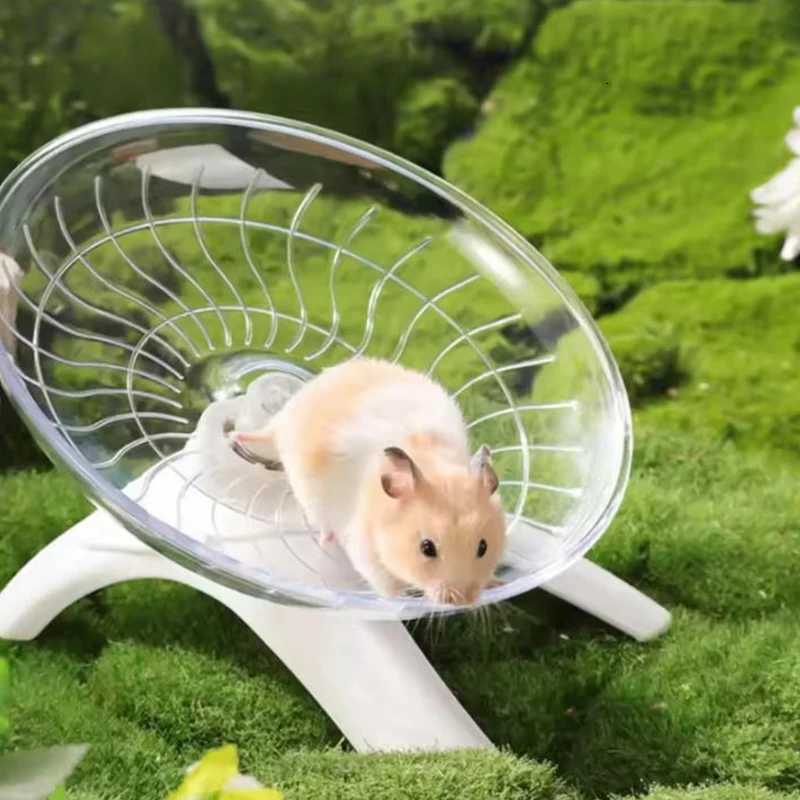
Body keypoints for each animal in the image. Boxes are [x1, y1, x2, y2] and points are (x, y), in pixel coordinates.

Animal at [231, 358, 506, 605]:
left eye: (483, 547)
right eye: (426, 548)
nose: (462, 602)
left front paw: (496, 582)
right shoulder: (364, 549)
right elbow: (384, 584)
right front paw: (400, 600)